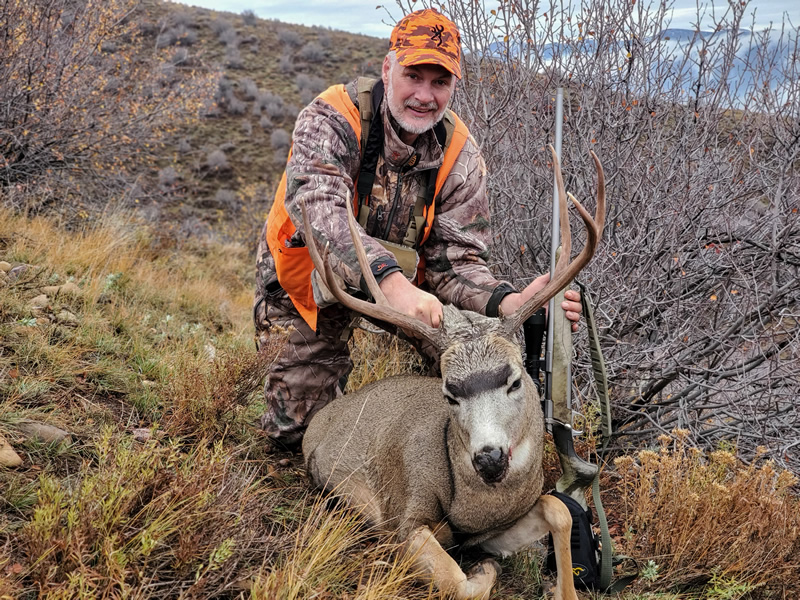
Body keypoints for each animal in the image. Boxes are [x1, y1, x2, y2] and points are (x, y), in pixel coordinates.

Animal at [301, 147, 605, 600]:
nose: (489, 458)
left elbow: (559, 510)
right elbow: (457, 583)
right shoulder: (404, 520)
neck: (479, 507)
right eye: (449, 393)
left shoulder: (495, 528)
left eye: (515, 380)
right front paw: (483, 570)